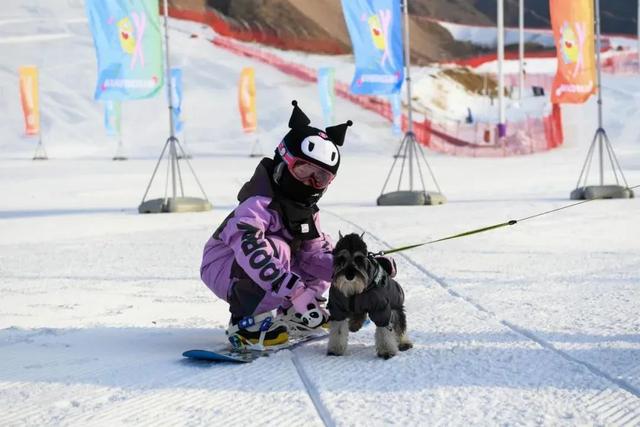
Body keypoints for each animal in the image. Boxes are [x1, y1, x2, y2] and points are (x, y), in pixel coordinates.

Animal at [328, 232, 412, 360]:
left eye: (359, 259)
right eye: (341, 258)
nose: (349, 276)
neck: (354, 291)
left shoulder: (381, 310)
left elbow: (384, 331)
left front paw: (386, 351)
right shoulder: (338, 309)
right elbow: (338, 330)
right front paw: (335, 349)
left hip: (396, 308)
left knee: (399, 327)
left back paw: (404, 343)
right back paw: (354, 324)